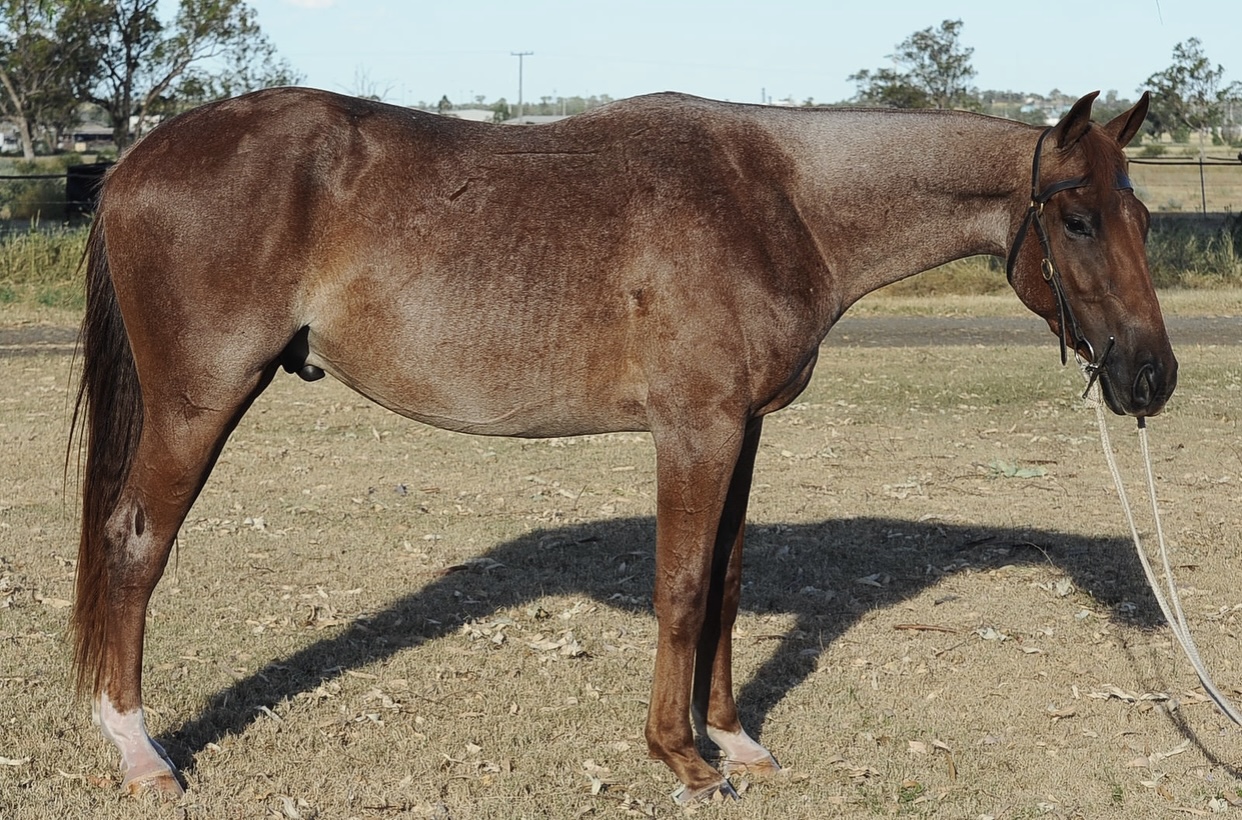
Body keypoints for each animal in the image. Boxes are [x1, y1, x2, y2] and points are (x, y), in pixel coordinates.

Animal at [70, 87, 1174, 803]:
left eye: (1143, 215)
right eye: (1078, 219)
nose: (1152, 378)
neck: (780, 199)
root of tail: (133, 163)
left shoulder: (743, 430)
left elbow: (725, 582)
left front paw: (734, 739)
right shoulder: (694, 429)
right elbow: (680, 587)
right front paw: (680, 756)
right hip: (199, 404)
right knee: (135, 544)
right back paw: (140, 751)